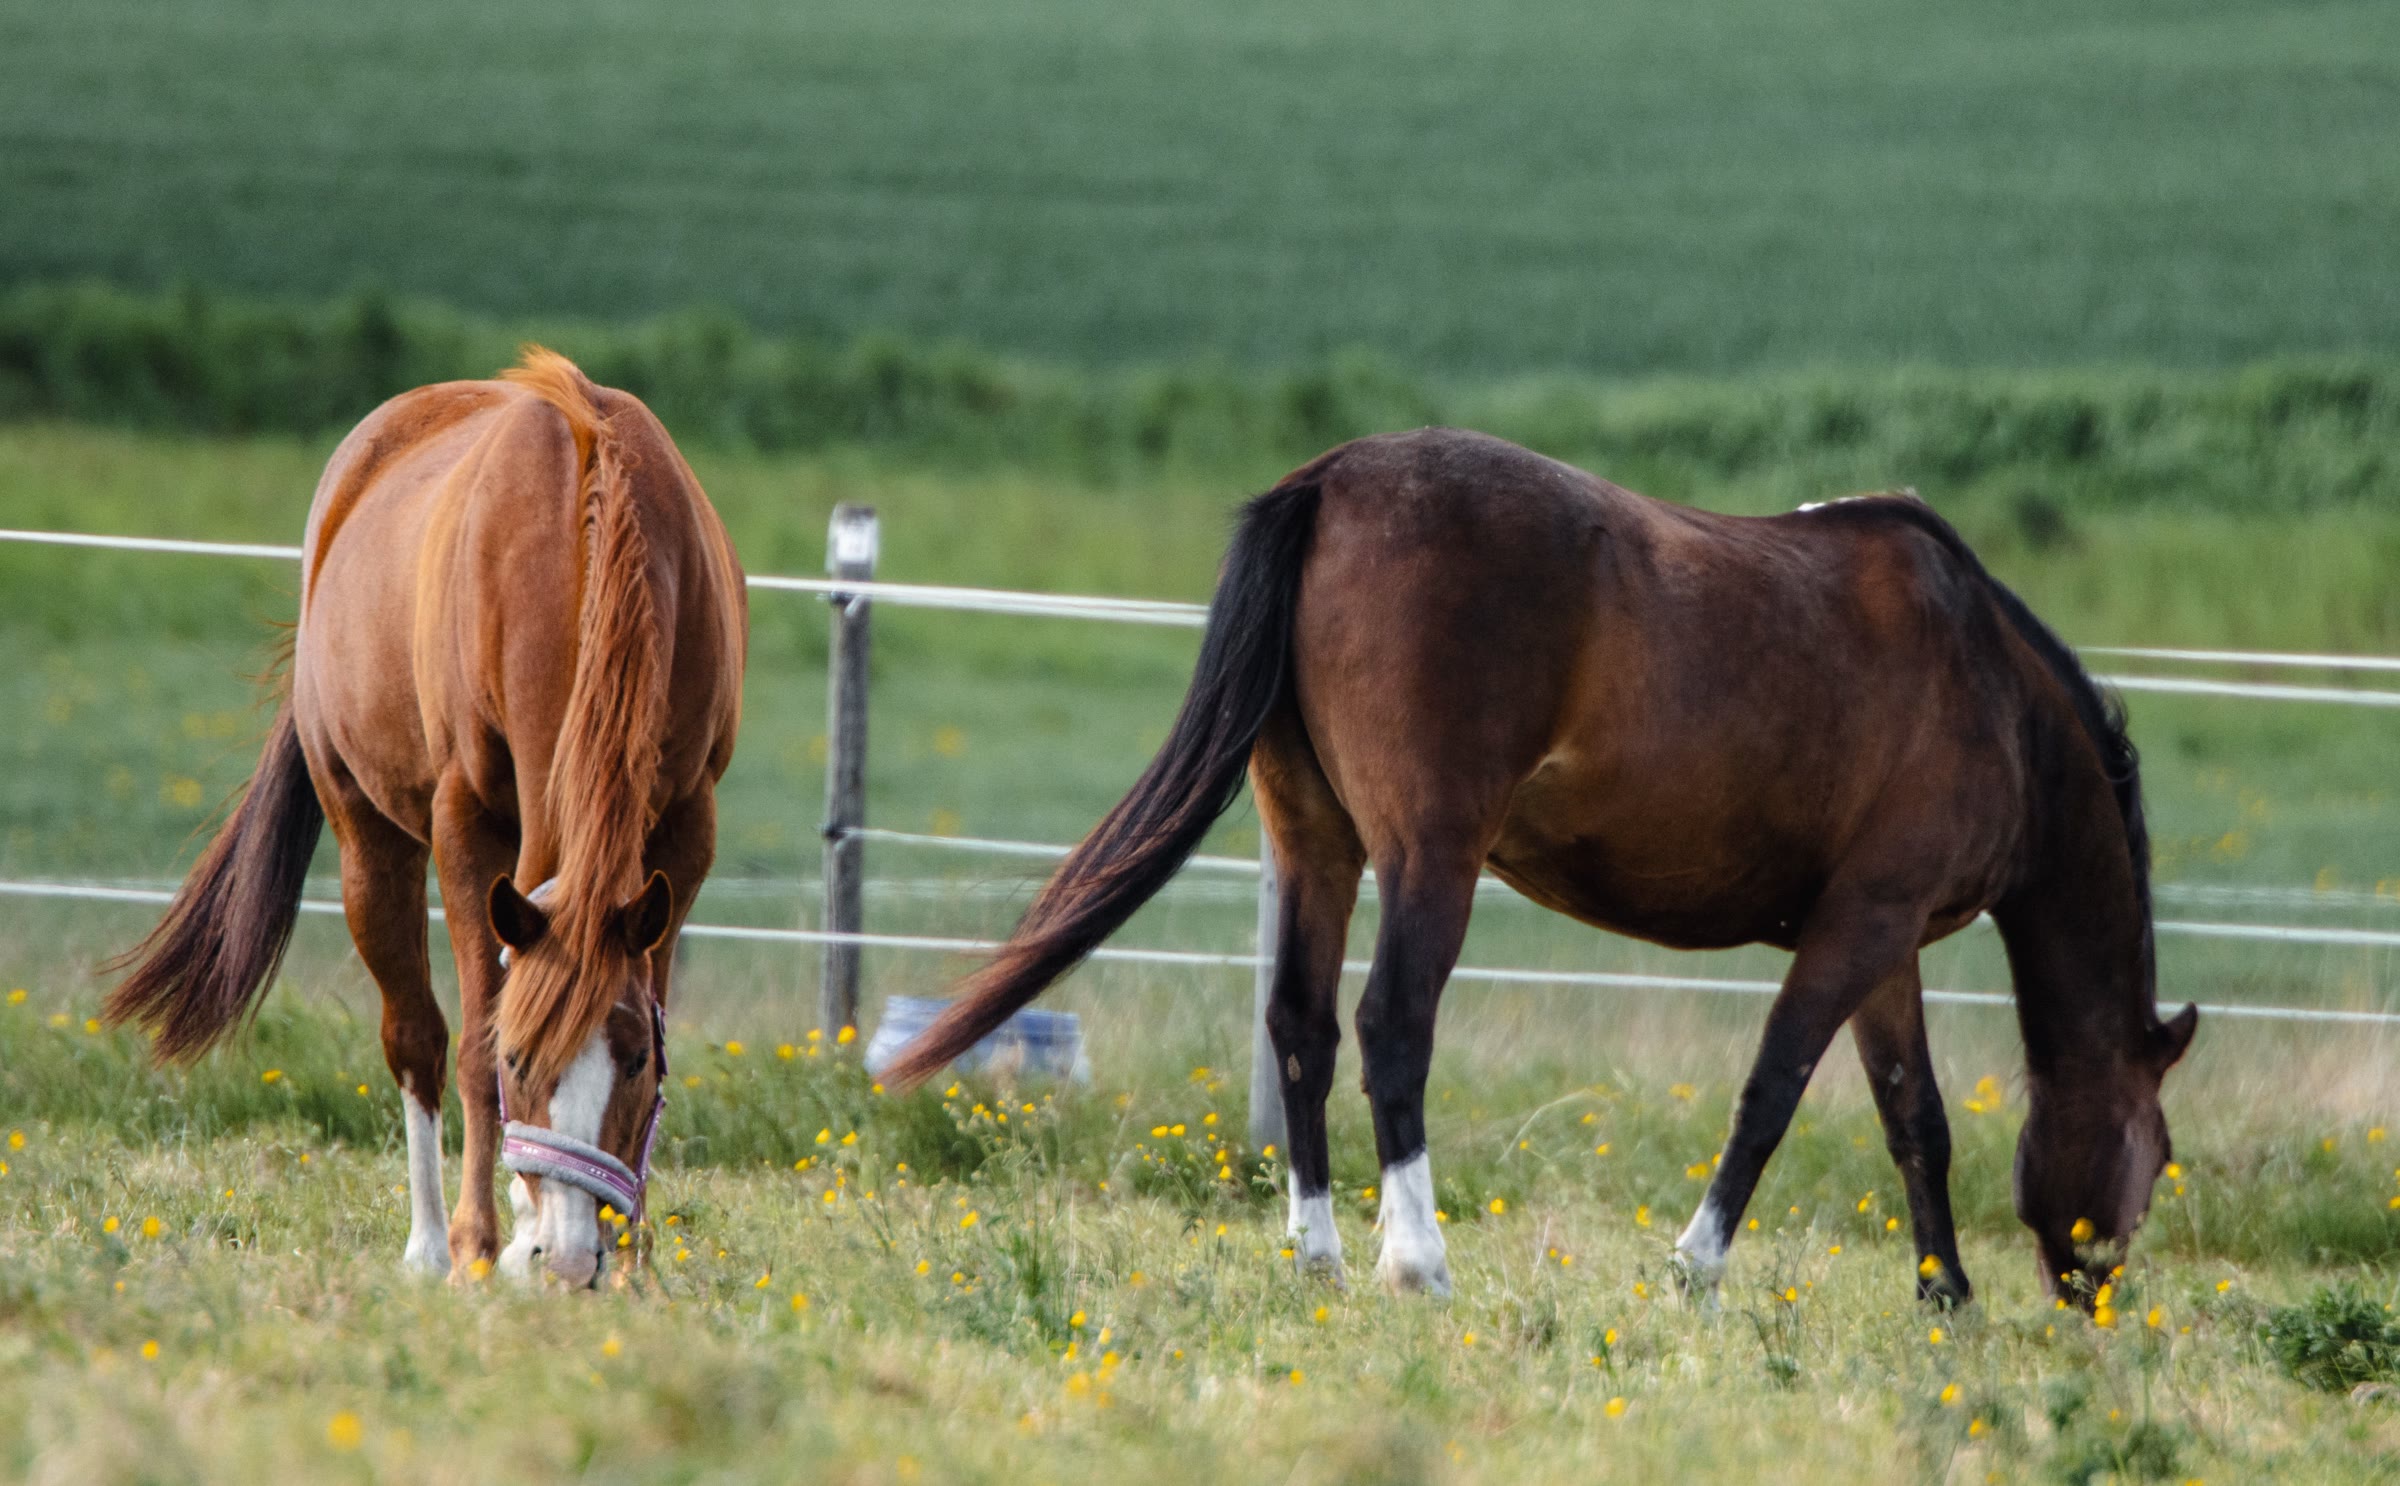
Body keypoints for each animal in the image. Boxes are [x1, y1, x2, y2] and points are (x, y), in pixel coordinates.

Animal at [104, 350, 747, 1288]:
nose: (571, 1259)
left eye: (630, 1059)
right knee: (416, 1036)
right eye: (523, 1061)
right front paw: (488, 1243)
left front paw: (632, 1258)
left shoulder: (686, 832)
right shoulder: (466, 822)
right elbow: (473, 1041)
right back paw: (434, 1245)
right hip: (368, 841)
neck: (581, 537)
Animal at [884, 427, 2196, 1306]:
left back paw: (1318, 1252)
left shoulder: (1886, 942)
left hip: (1317, 839)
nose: (2091, 1291)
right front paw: (1696, 1268)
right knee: (1391, 1024)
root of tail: (1335, 479)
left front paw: (1945, 1296)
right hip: (1433, 854)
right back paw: (1416, 1259)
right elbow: (1775, 1088)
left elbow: (1912, 1112)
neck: (1990, 688)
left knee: (1301, 1023)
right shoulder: (1866, 922)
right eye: (2161, 1149)